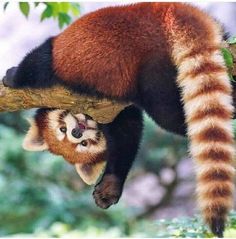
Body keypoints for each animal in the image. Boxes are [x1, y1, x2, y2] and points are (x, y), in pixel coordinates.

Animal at [2, 2, 235, 237]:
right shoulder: (116, 111)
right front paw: (110, 186)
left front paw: (11, 76)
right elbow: (127, 136)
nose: (77, 131)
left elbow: (35, 63)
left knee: (167, 113)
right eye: (83, 143)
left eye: (63, 130)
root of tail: (167, 13)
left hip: (153, 63)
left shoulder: (55, 65)